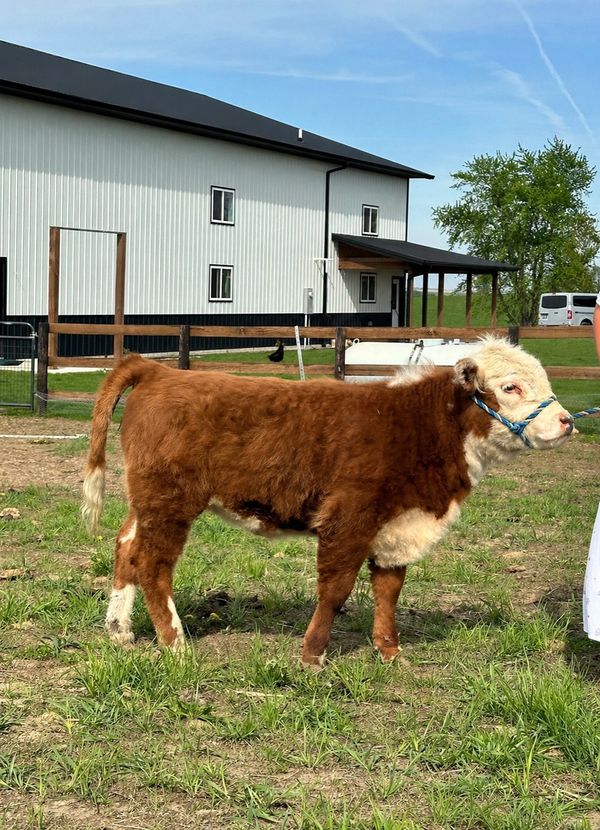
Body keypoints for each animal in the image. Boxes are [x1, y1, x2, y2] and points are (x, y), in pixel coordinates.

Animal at [82, 338, 573, 667]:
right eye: (510, 387)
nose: (567, 421)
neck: (416, 424)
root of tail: (159, 371)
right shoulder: (349, 517)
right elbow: (335, 590)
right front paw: (312, 655)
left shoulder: (397, 525)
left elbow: (389, 589)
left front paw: (389, 649)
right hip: (170, 500)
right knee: (153, 564)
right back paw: (175, 642)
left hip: (146, 501)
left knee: (126, 548)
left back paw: (119, 631)